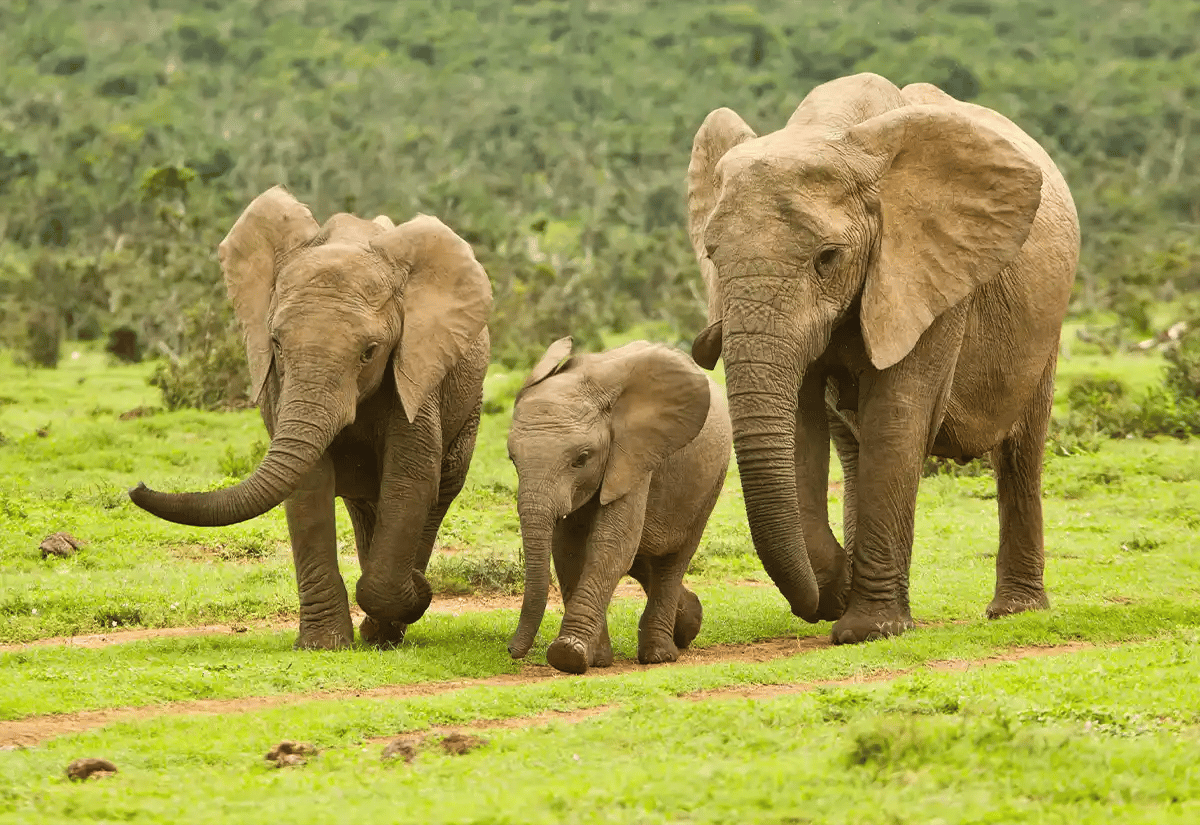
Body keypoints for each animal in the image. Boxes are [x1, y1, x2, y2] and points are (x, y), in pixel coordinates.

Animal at [129, 185, 493, 650]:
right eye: (276, 343)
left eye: (370, 352)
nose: (137, 485)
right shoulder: (278, 385)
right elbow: (308, 485)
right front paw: (324, 645)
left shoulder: (417, 372)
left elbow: (410, 479)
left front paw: (409, 598)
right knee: (365, 505)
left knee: (437, 492)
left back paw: (390, 620)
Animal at [505, 337, 732, 674]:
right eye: (512, 459)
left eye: (582, 459)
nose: (511, 650)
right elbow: (569, 549)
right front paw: (594, 659)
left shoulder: (634, 453)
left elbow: (611, 544)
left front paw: (567, 655)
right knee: (644, 558)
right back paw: (690, 622)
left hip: (711, 480)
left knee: (673, 559)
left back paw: (659, 654)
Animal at [686, 73, 1079, 644]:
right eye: (712, 256)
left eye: (827, 258)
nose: (822, 600)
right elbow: (802, 425)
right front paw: (837, 589)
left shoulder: (928, 272)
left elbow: (897, 417)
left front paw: (869, 630)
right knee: (853, 448)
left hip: (1045, 324)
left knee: (1021, 450)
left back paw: (1015, 612)